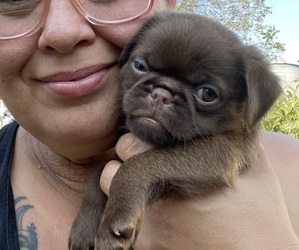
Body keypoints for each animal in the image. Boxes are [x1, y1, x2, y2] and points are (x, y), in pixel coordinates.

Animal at [69, 10, 282, 249]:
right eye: (140, 66)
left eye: (207, 94)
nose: (162, 93)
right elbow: (99, 175)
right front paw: (85, 226)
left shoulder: (221, 151)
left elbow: (137, 165)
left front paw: (114, 220)